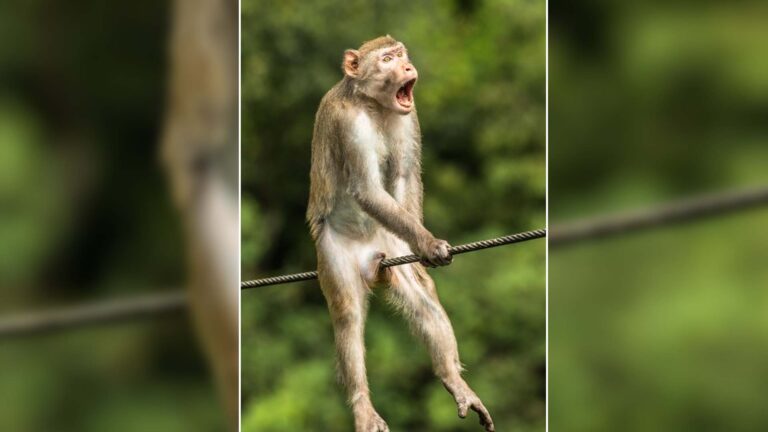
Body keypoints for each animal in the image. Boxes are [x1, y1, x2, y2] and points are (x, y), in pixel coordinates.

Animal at [306, 35, 495, 432]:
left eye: (401, 55)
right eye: (387, 59)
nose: (407, 67)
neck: (373, 105)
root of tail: (372, 260)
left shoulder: (410, 117)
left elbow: (406, 175)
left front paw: (423, 246)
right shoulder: (348, 123)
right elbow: (366, 189)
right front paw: (427, 242)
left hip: (389, 244)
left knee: (422, 298)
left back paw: (453, 380)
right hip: (334, 253)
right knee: (347, 314)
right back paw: (363, 406)